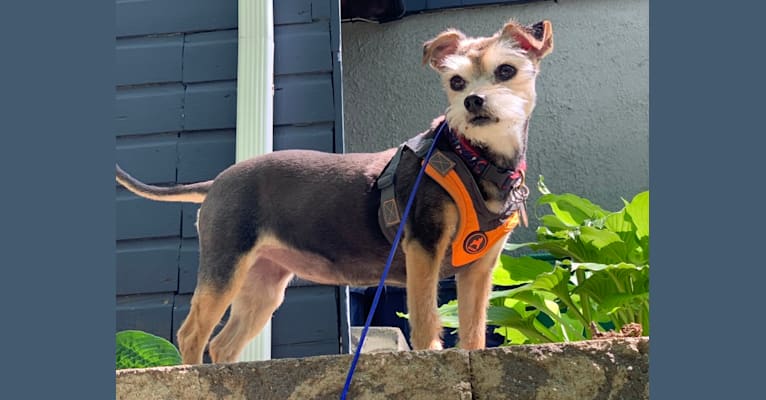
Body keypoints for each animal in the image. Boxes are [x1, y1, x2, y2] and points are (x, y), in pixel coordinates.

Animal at [117, 19, 556, 366]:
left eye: (506, 70)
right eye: (456, 81)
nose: (472, 101)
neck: (475, 158)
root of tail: (218, 181)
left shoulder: (479, 268)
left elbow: (474, 327)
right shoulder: (424, 247)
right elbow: (426, 316)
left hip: (263, 284)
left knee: (223, 344)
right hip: (225, 265)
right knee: (192, 333)